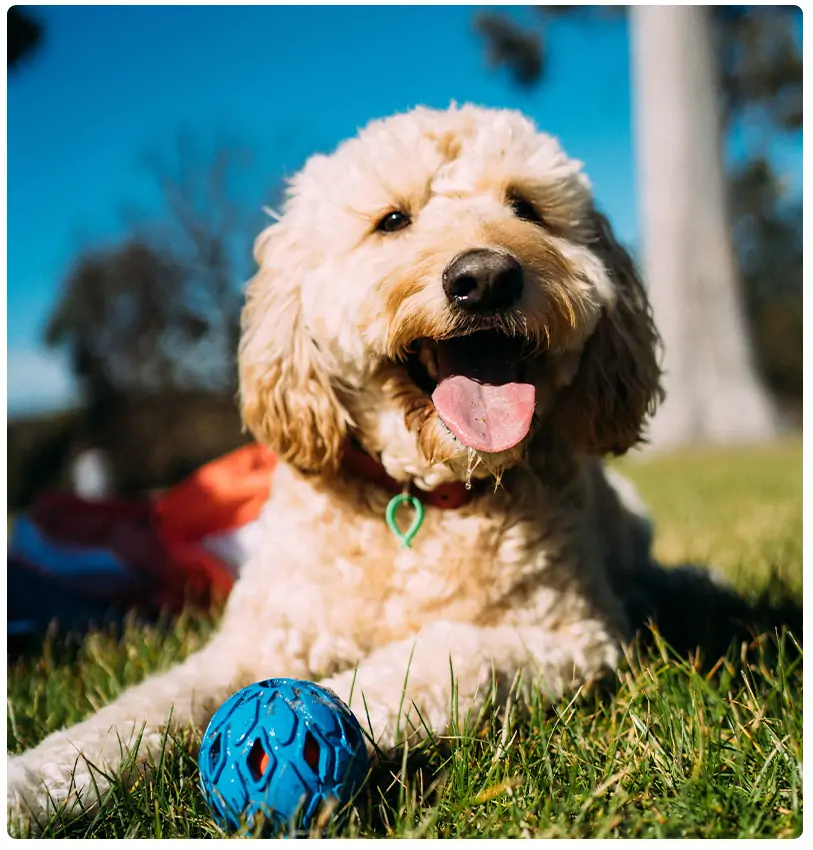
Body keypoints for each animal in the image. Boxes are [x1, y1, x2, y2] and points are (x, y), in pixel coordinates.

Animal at [6, 102, 668, 832]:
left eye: (525, 207)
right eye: (392, 220)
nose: (485, 277)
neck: (418, 498)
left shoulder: (569, 636)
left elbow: (423, 666)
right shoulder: (253, 642)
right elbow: (139, 710)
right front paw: (31, 785)